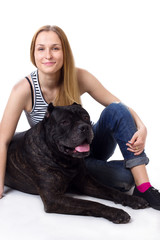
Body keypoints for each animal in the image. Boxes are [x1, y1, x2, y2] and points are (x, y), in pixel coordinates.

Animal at [5, 102, 149, 223]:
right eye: (64, 122)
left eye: (85, 117)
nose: (84, 127)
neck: (66, 160)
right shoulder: (53, 197)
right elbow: (91, 203)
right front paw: (116, 213)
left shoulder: (86, 182)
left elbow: (111, 191)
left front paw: (133, 200)